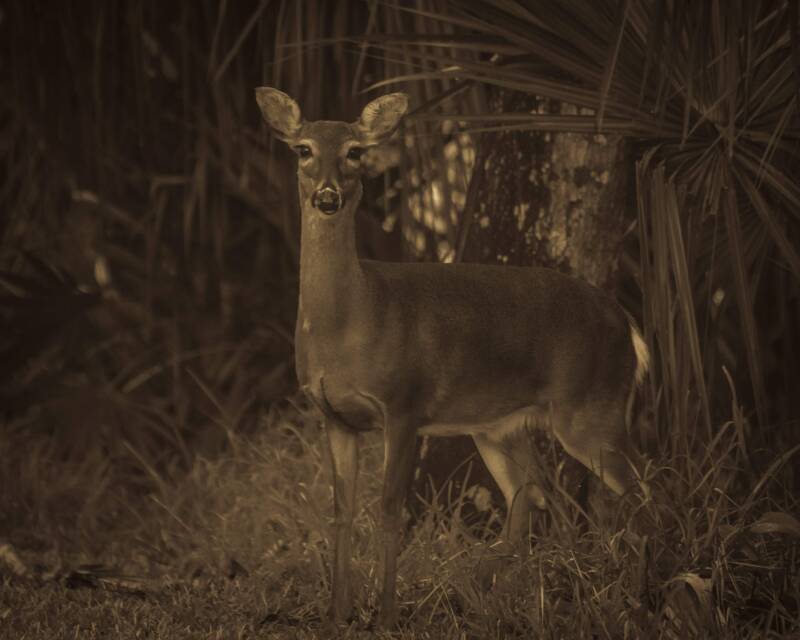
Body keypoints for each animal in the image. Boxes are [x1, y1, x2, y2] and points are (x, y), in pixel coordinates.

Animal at [255, 87, 650, 628]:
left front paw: (385, 616)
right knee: (538, 499)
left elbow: (389, 509)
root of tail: (627, 324)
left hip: (592, 406)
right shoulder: (333, 416)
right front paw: (337, 615)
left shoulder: (403, 403)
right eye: (303, 149)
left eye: (355, 151)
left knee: (643, 487)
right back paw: (537, 595)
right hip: (500, 426)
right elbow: (341, 511)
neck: (352, 318)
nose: (328, 197)